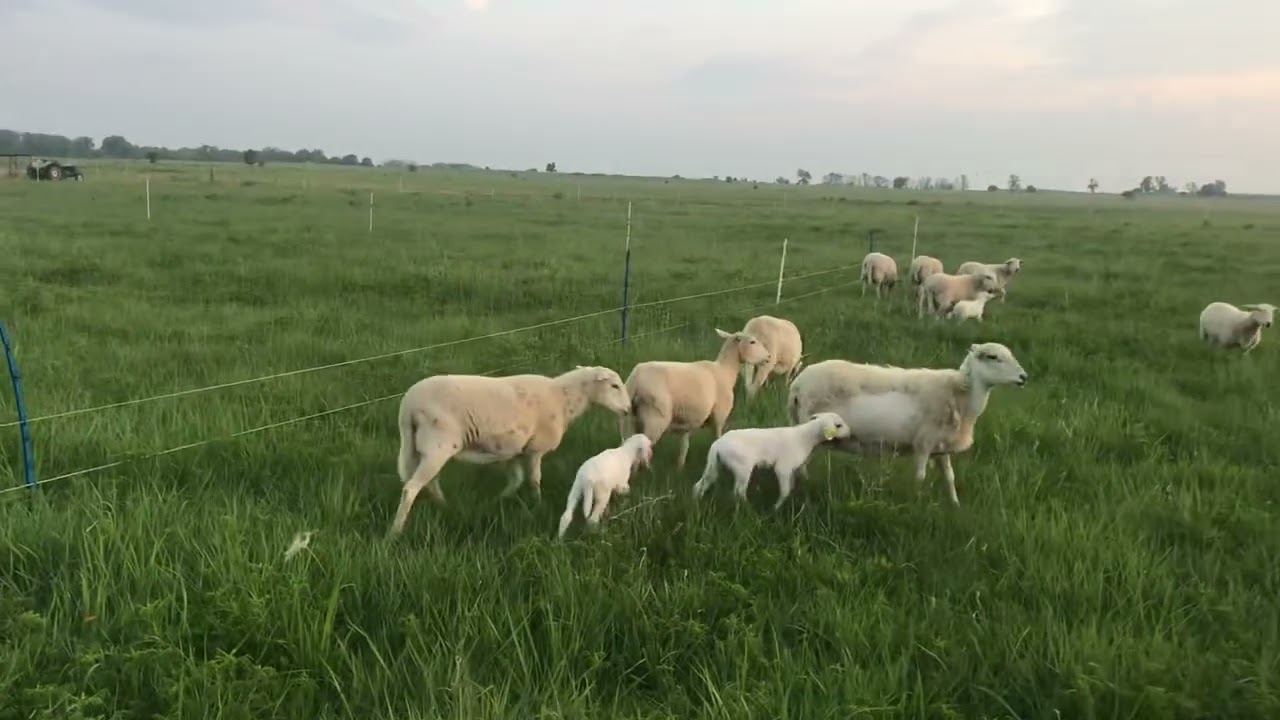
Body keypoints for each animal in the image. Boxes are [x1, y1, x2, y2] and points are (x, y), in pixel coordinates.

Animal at [389, 365, 632, 536]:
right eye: (614, 386)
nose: (629, 409)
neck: (563, 399)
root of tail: (407, 406)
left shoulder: (514, 449)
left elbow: (516, 479)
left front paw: (498, 500)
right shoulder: (535, 449)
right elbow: (533, 479)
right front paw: (537, 505)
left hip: (424, 448)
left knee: (429, 482)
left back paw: (445, 507)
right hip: (438, 444)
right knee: (411, 488)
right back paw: (395, 532)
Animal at [620, 328, 772, 471]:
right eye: (752, 342)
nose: (769, 356)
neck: (725, 371)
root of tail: (636, 379)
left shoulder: (688, 421)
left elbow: (684, 446)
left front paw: (679, 468)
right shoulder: (719, 416)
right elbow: (717, 438)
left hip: (628, 419)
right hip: (656, 418)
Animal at [691, 411, 851, 510]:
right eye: (838, 425)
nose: (850, 433)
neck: (805, 438)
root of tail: (717, 445)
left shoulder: (790, 470)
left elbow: (790, 486)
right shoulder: (783, 467)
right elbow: (785, 490)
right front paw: (775, 508)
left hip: (714, 464)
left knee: (701, 484)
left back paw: (696, 501)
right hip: (742, 466)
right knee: (738, 491)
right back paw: (748, 509)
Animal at [786, 342, 1028, 506]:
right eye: (993, 357)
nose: (1024, 377)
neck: (959, 394)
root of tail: (797, 385)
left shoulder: (940, 445)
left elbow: (949, 477)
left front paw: (955, 505)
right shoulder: (923, 442)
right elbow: (920, 476)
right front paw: (916, 502)